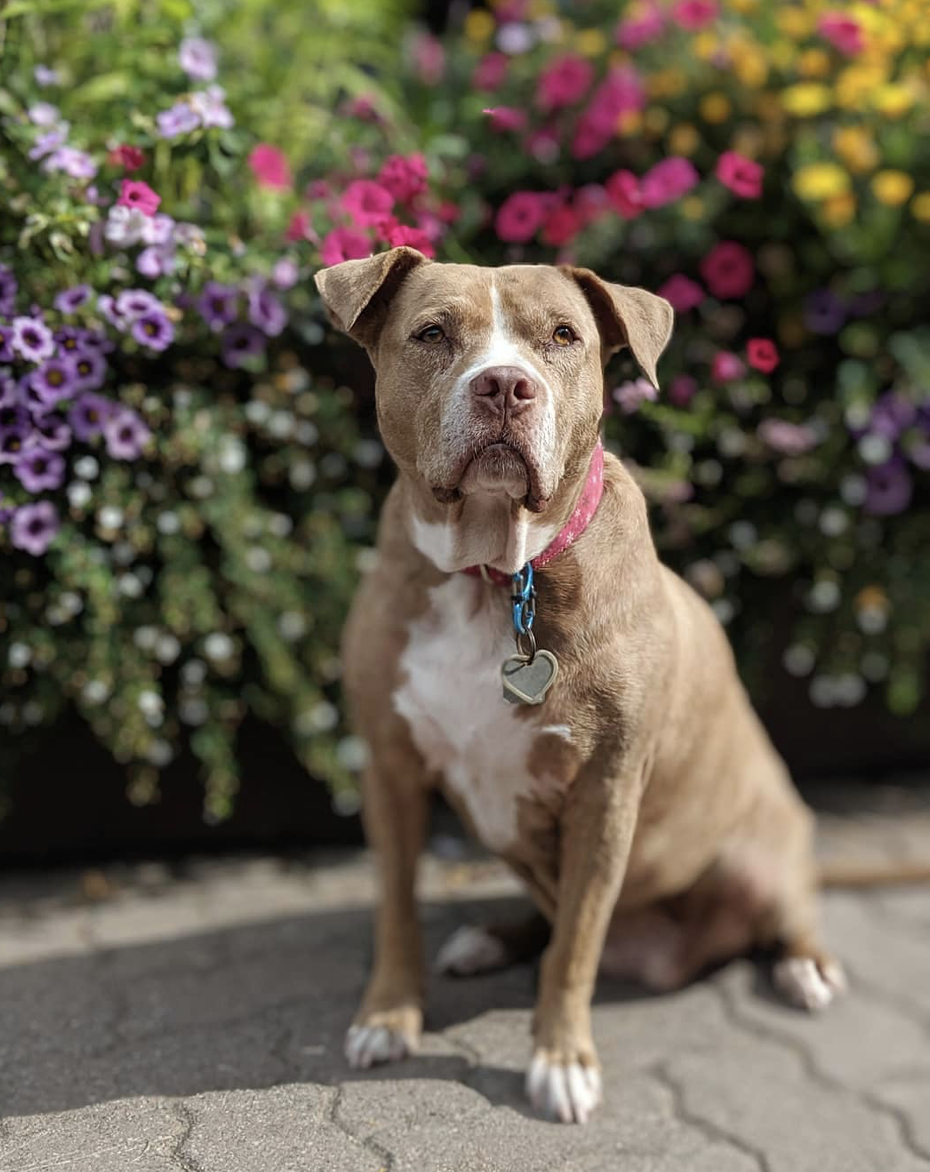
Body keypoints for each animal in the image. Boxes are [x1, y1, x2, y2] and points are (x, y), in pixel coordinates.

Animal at [314, 247, 846, 1124]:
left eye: (562, 336)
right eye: (432, 333)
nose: (505, 385)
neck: (497, 574)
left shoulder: (605, 791)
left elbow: (575, 946)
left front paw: (561, 1059)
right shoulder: (390, 766)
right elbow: (397, 908)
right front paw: (387, 1016)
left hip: (765, 850)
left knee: (785, 906)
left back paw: (806, 966)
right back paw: (489, 938)